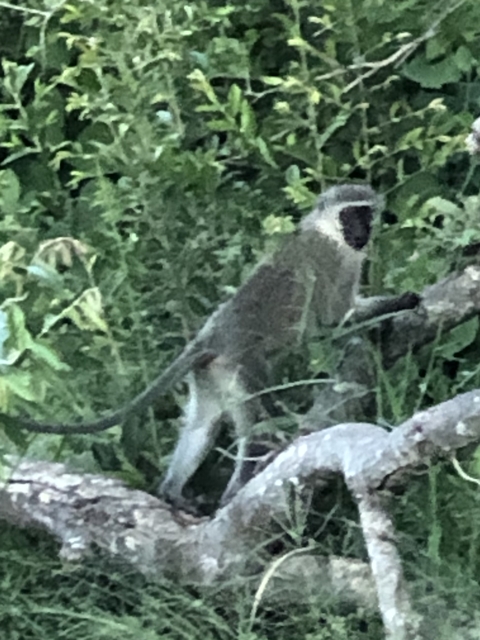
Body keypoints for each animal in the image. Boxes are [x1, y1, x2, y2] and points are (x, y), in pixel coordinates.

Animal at [0, 184, 419, 506]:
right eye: (351, 214)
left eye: (366, 214)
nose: (363, 231)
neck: (326, 231)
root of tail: (212, 335)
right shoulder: (335, 263)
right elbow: (333, 322)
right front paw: (399, 304)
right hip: (241, 370)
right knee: (256, 430)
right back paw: (233, 491)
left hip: (211, 376)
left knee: (202, 425)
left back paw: (173, 493)